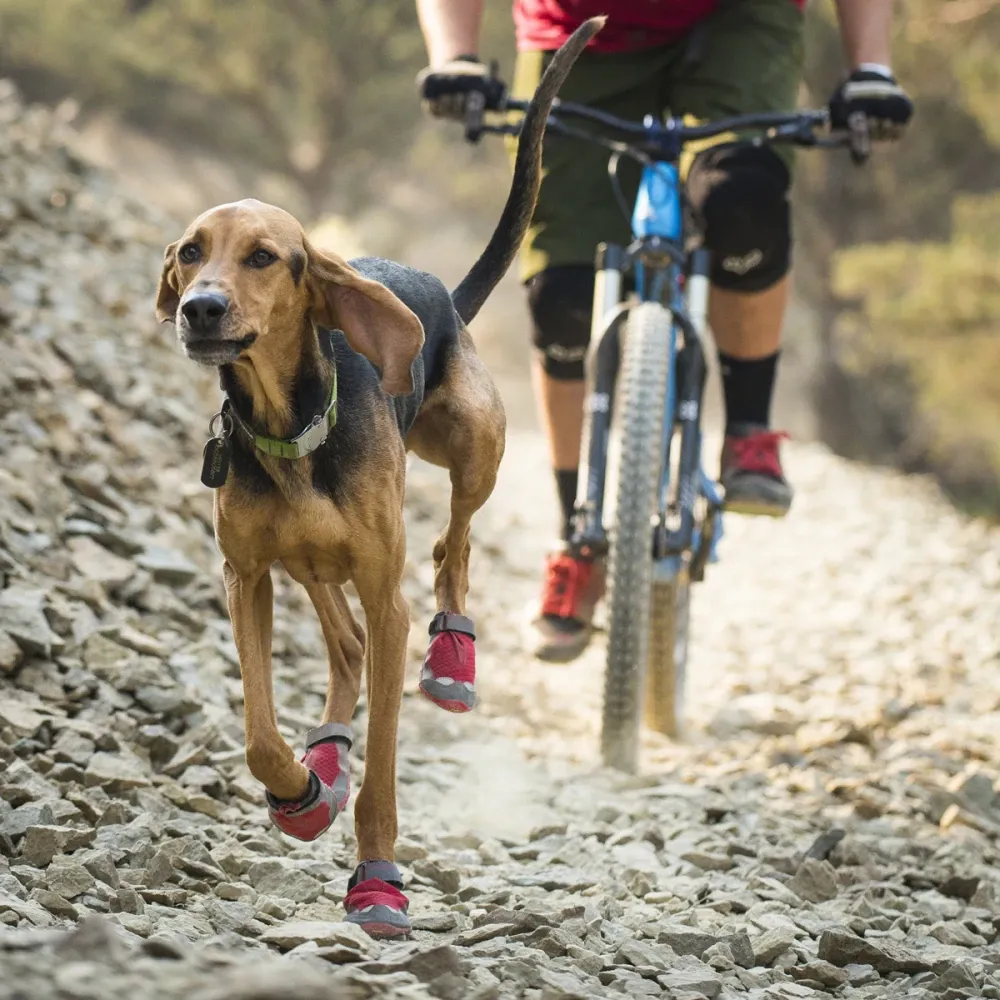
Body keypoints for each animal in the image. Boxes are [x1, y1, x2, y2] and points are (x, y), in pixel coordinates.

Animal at [152, 17, 596, 936]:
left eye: (263, 257)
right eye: (190, 252)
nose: (199, 308)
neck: (290, 430)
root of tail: (442, 290)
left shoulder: (388, 602)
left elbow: (387, 763)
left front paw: (378, 877)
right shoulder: (247, 575)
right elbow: (258, 731)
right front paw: (299, 789)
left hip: (473, 449)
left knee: (450, 546)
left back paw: (453, 660)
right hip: (311, 561)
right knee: (345, 640)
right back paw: (324, 754)